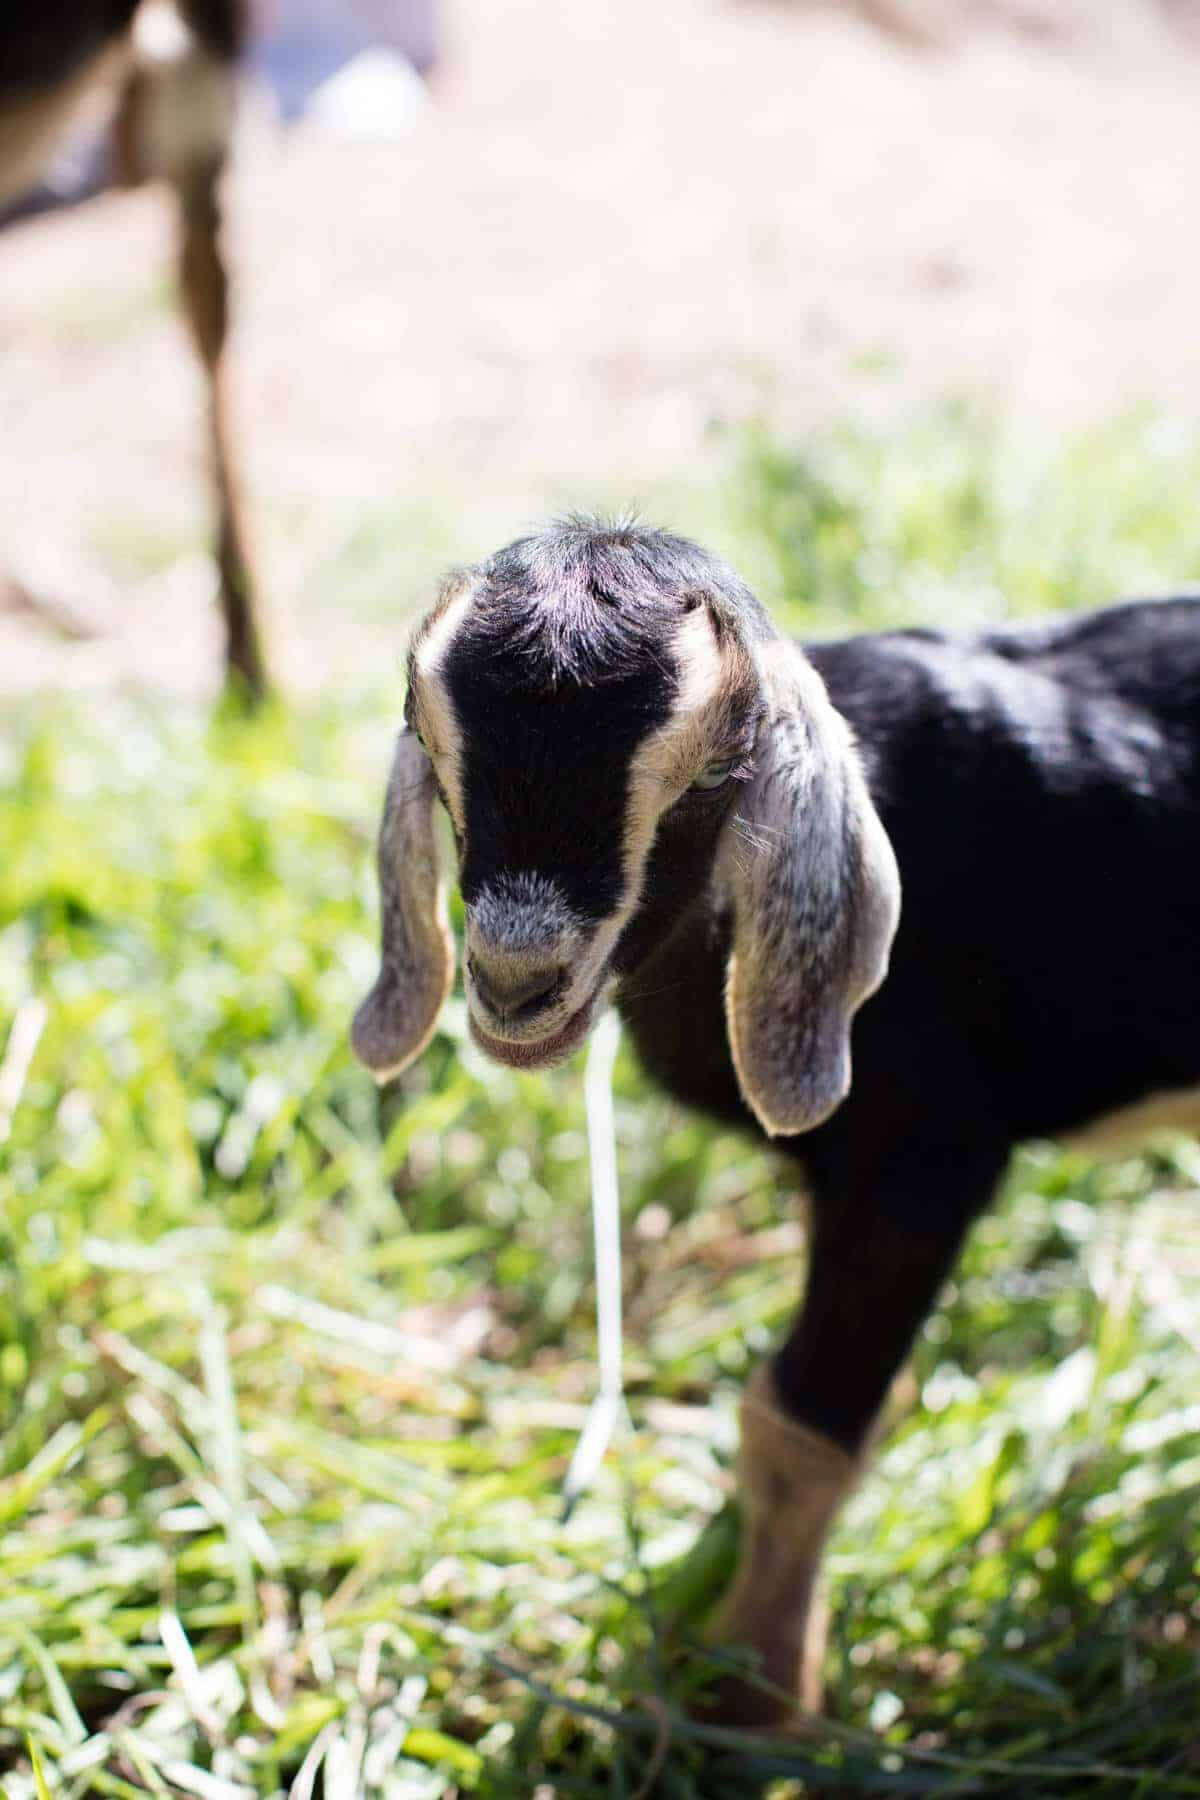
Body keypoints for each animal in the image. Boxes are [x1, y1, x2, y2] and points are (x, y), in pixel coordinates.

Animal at [352, 514, 1194, 1720]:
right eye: (430, 737)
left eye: (714, 770)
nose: (517, 984)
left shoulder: (922, 1160)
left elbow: (797, 1422)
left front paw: (751, 1693)